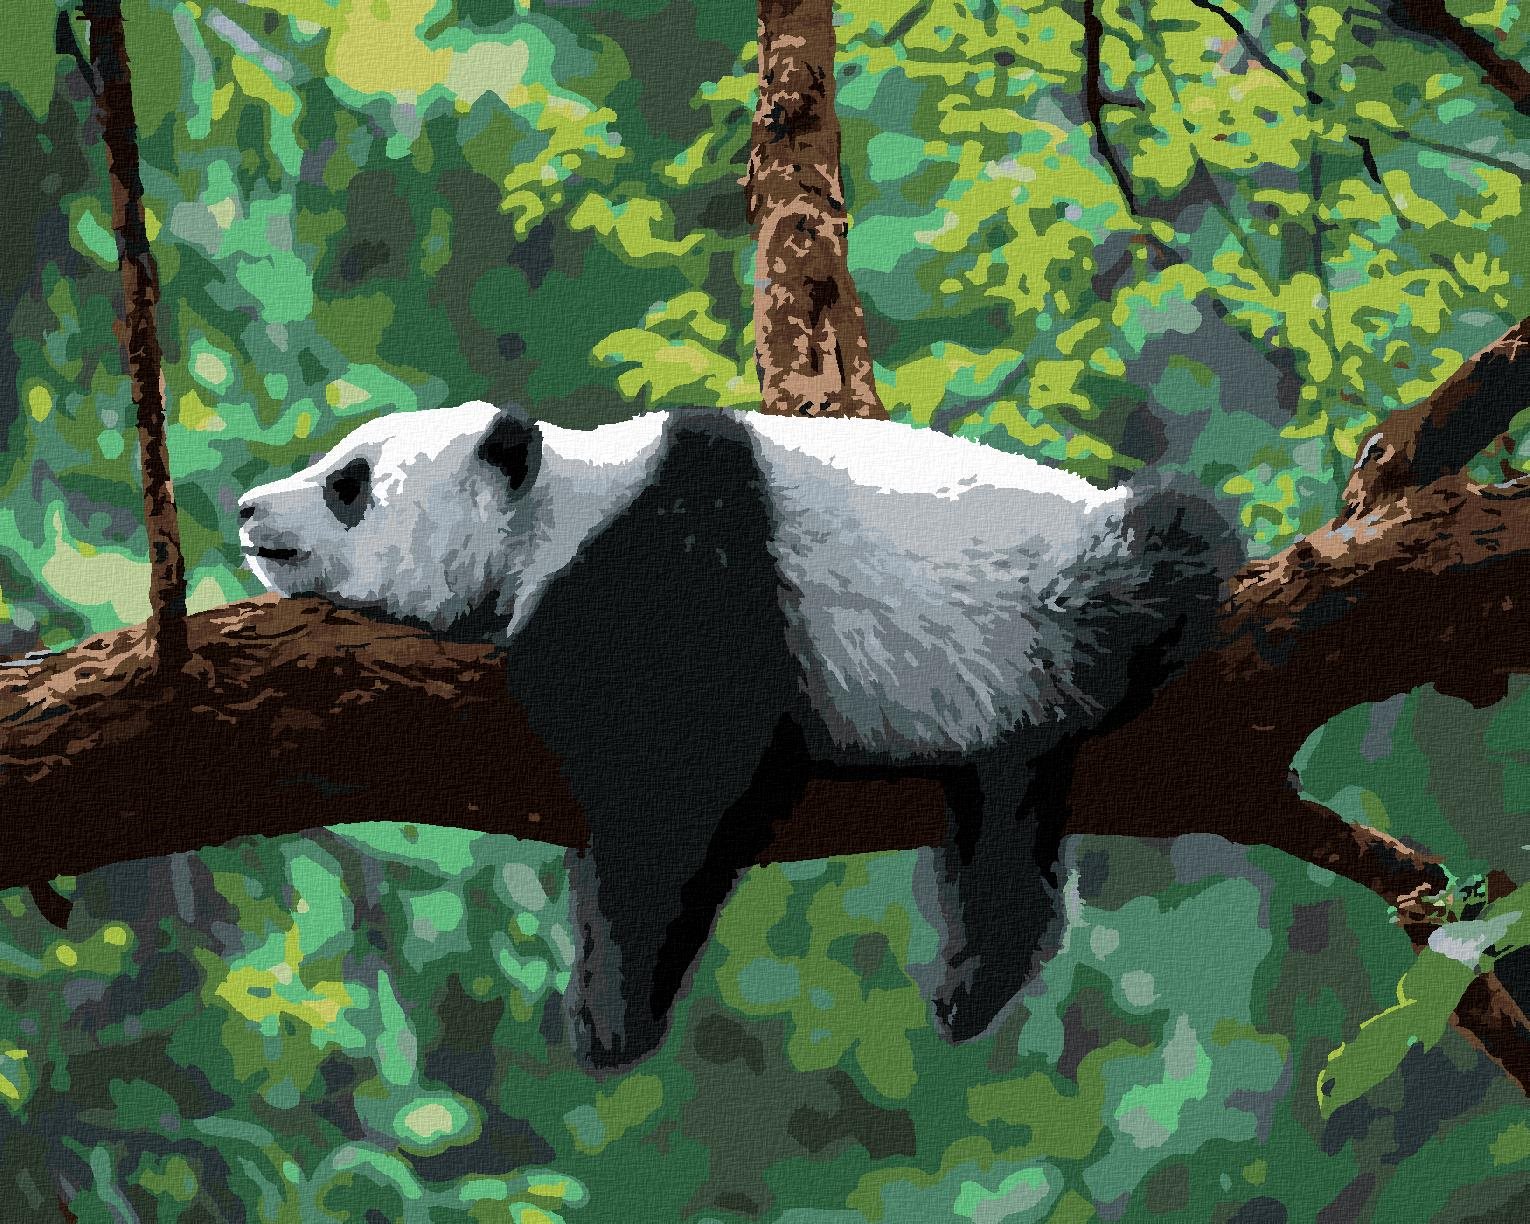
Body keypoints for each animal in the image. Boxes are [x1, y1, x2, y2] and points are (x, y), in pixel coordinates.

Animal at [239, 402, 1237, 1069]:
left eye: (348, 482)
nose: (249, 509)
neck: (557, 509)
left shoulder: (674, 550)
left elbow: (685, 770)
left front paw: (613, 1010)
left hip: (1055, 585)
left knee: (1168, 544)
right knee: (1001, 816)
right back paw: (975, 980)